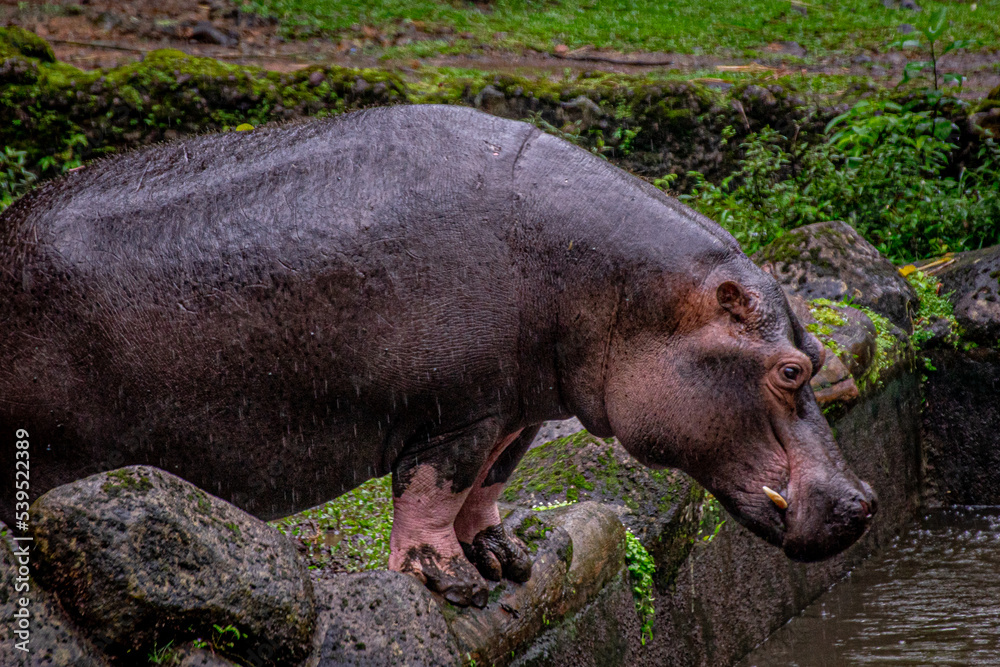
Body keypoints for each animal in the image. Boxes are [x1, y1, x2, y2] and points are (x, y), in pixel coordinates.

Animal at [1, 103, 876, 604]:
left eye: (815, 346)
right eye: (791, 369)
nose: (864, 500)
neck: (617, 286)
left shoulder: (519, 407)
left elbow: (488, 483)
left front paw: (506, 561)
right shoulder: (456, 408)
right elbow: (432, 485)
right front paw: (451, 583)